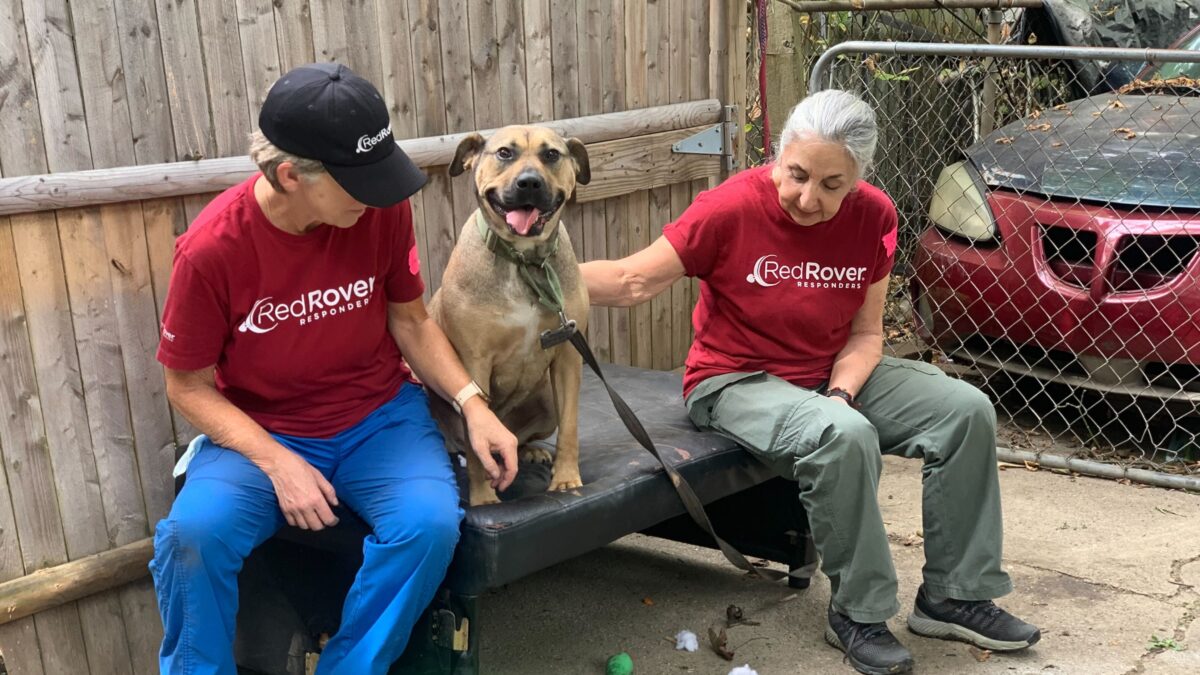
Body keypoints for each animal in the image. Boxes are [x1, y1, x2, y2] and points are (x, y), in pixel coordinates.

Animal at [434, 126, 592, 504]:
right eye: (504, 152)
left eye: (552, 154)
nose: (529, 183)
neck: (523, 261)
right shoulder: (474, 363)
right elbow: (479, 442)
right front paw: (483, 499)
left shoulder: (568, 357)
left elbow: (570, 425)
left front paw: (566, 478)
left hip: (545, 400)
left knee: (518, 439)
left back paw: (530, 451)